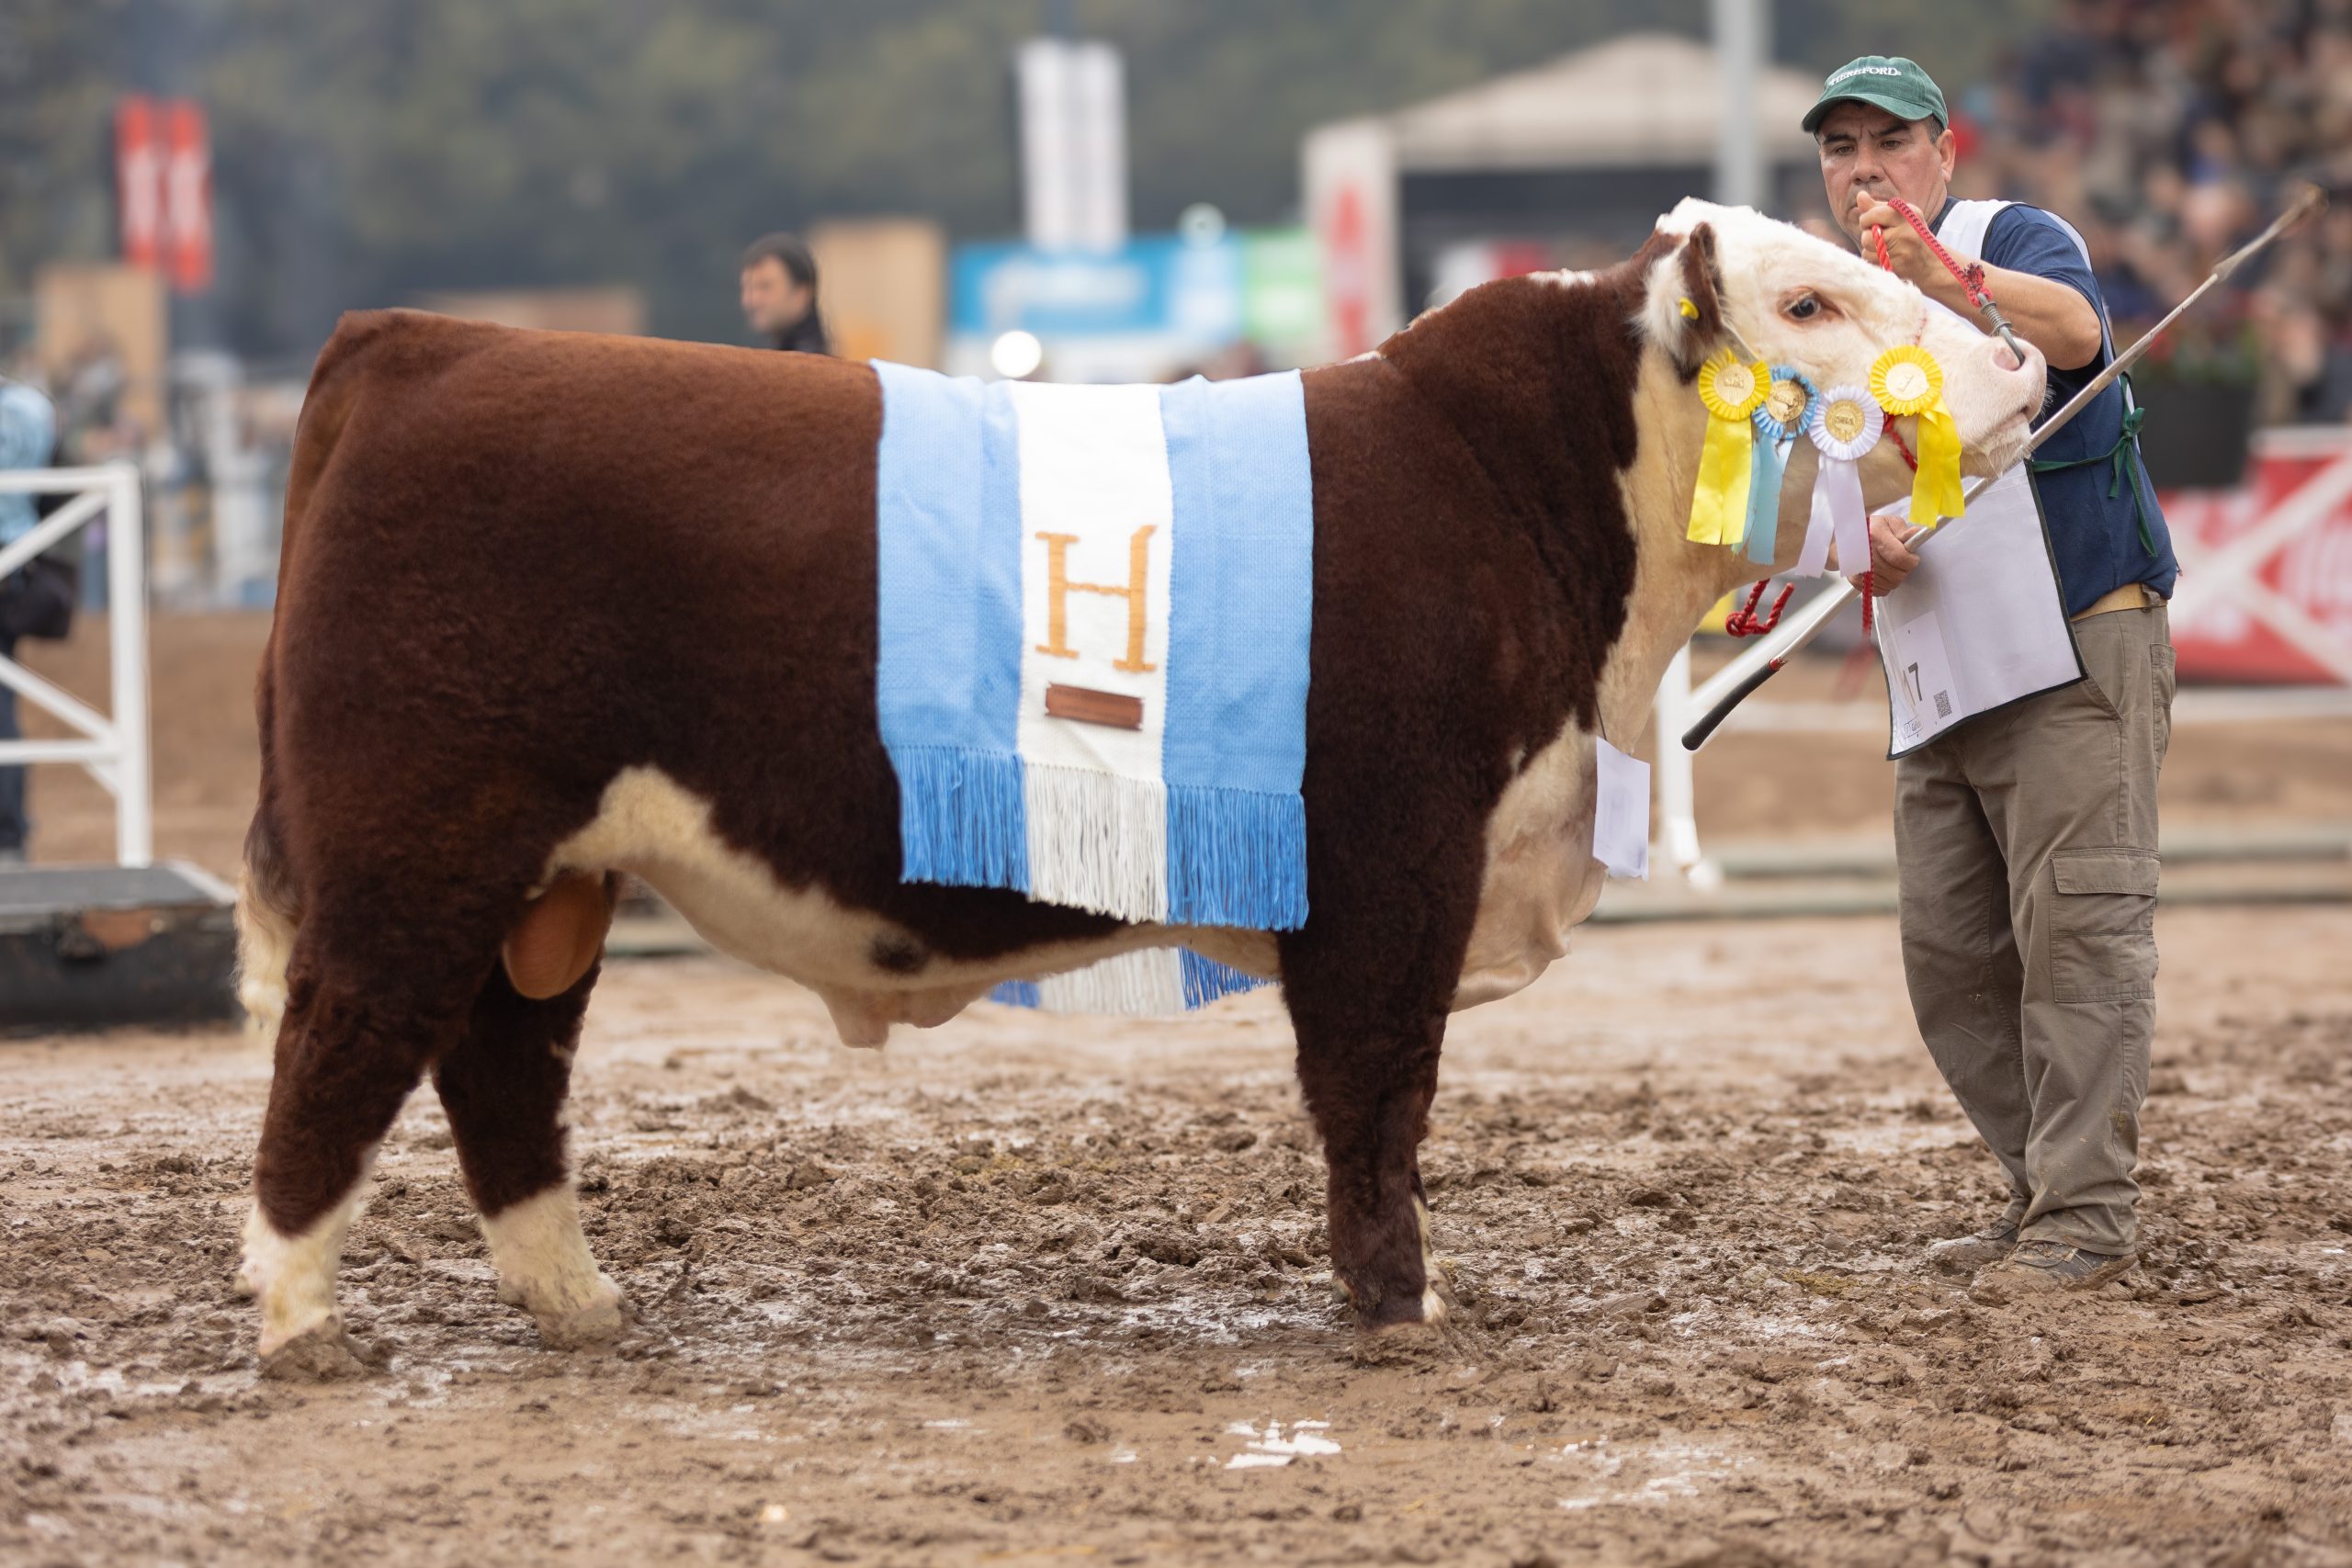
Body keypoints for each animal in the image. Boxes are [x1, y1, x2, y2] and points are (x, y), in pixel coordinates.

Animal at [233, 202, 2041, 1382]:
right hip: (419, 848)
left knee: (500, 1069)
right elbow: (1376, 1088)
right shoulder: (1391, 864)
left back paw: (580, 1305)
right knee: (342, 1046)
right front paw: (1401, 1304)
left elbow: (1381, 1098)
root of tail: (422, 342)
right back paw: (305, 1324)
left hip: (548, 875)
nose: (2026, 366)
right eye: (1808, 307)